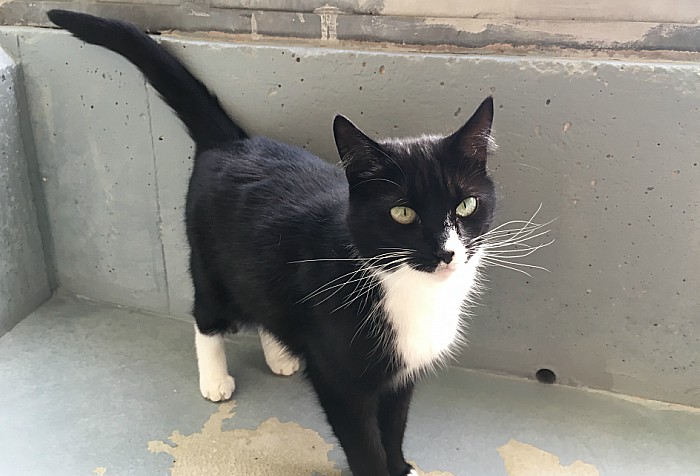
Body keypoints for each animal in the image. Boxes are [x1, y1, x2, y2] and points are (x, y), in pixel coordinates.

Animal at [47, 9, 498, 474]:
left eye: (465, 205)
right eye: (402, 213)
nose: (445, 252)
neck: (407, 291)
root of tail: (232, 142)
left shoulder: (403, 372)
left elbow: (394, 426)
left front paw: (401, 467)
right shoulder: (340, 381)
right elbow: (364, 442)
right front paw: (378, 467)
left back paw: (280, 355)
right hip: (209, 258)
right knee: (206, 311)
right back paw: (215, 379)